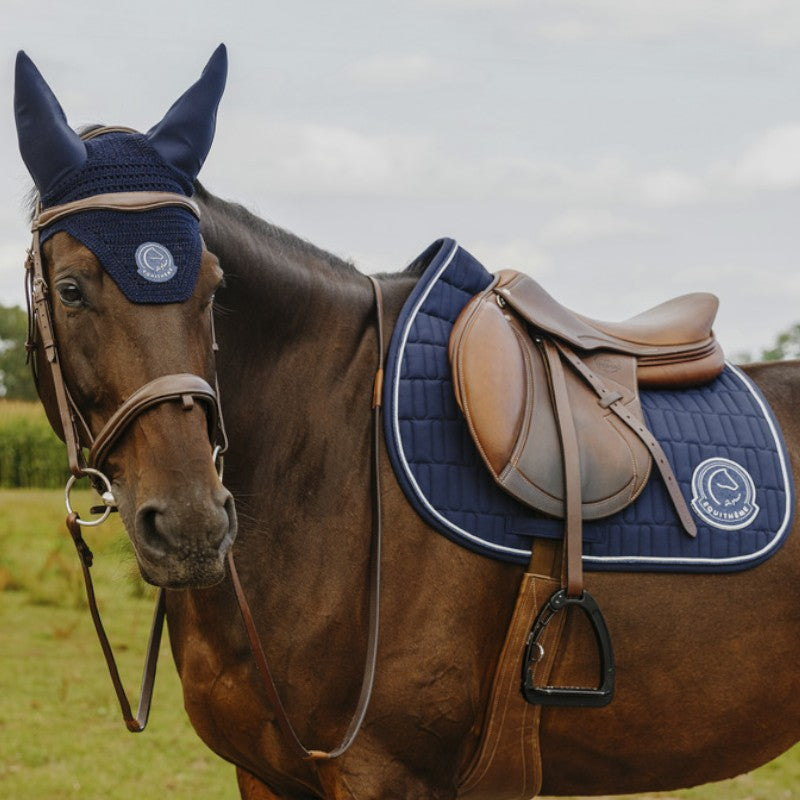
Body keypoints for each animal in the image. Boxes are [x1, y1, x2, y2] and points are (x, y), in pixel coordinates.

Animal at [15, 46, 800, 800]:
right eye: (70, 289)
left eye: (212, 287)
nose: (192, 526)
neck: (324, 457)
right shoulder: (265, 775)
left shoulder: (386, 772)